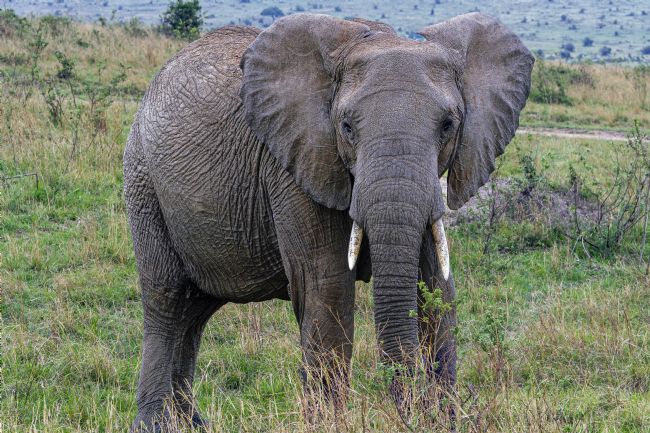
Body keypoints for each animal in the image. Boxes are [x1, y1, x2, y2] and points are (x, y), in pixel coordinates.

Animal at [123, 12, 533, 431]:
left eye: (448, 125)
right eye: (347, 127)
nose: (409, 412)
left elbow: (437, 288)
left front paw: (445, 420)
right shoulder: (296, 165)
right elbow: (328, 285)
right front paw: (331, 424)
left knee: (195, 312)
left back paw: (192, 423)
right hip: (143, 182)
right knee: (167, 300)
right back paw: (156, 424)